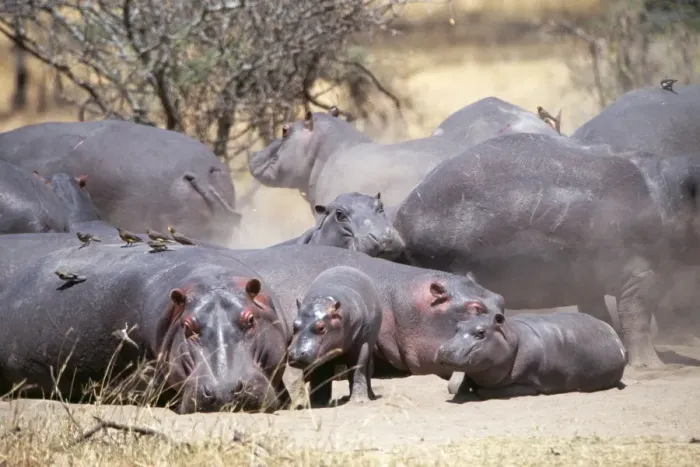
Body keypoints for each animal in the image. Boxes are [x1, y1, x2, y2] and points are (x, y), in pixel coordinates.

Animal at [288, 266, 383, 406]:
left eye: (321, 327)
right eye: (294, 324)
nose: (296, 354)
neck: (324, 300)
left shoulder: (362, 344)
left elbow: (358, 369)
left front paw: (359, 401)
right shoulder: (322, 353)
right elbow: (321, 374)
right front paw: (318, 403)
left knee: (366, 370)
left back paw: (369, 396)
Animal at [392, 132, 700, 371]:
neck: (672, 194)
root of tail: (400, 222)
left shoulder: (587, 279)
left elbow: (599, 314)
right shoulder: (641, 275)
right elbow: (637, 317)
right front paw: (653, 366)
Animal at [436, 311, 628, 398]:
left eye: (481, 332)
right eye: (457, 327)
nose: (444, 350)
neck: (512, 337)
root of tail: (612, 331)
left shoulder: (528, 383)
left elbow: (485, 391)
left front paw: (477, 391)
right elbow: (456, 386)